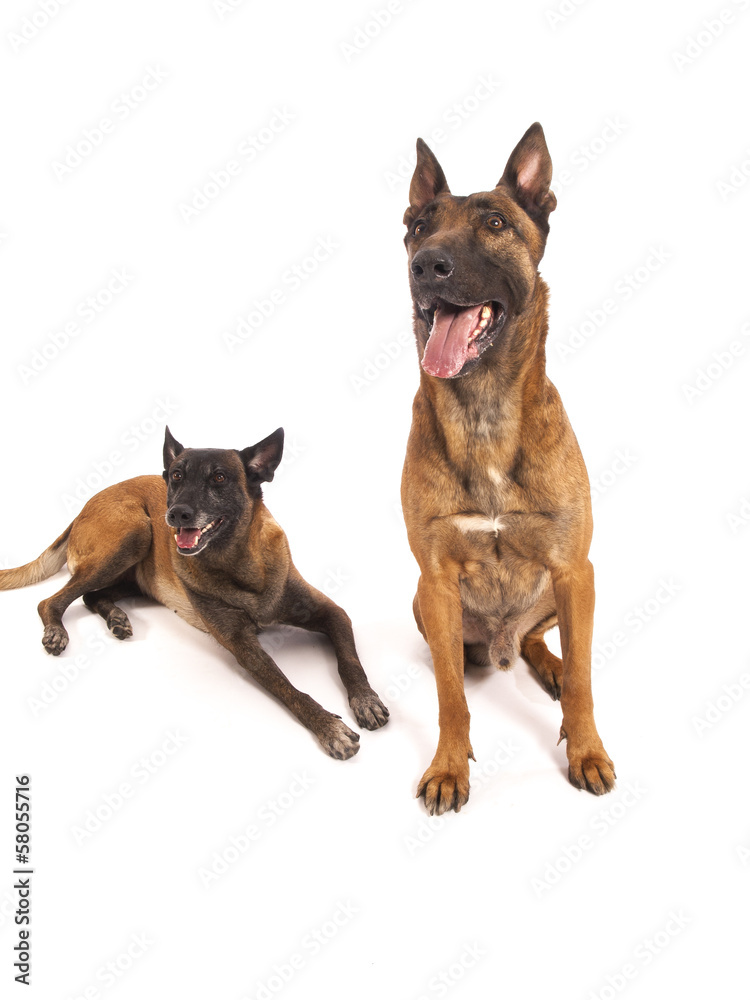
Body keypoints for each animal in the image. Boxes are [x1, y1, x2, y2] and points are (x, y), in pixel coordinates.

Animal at [4, 424, 394, 756]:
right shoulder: (244, 646)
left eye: (219, 477)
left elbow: (349, 660)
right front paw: (329, 726)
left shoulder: (332, 613)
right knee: (50, 600)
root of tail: (83, 508)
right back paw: (57, 629)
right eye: (177, 476)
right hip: (135, 532)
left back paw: (116, 617)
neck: (240, 565)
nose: (177, 514)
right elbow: (291, 690)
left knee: (90, 595)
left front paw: (365, 700)